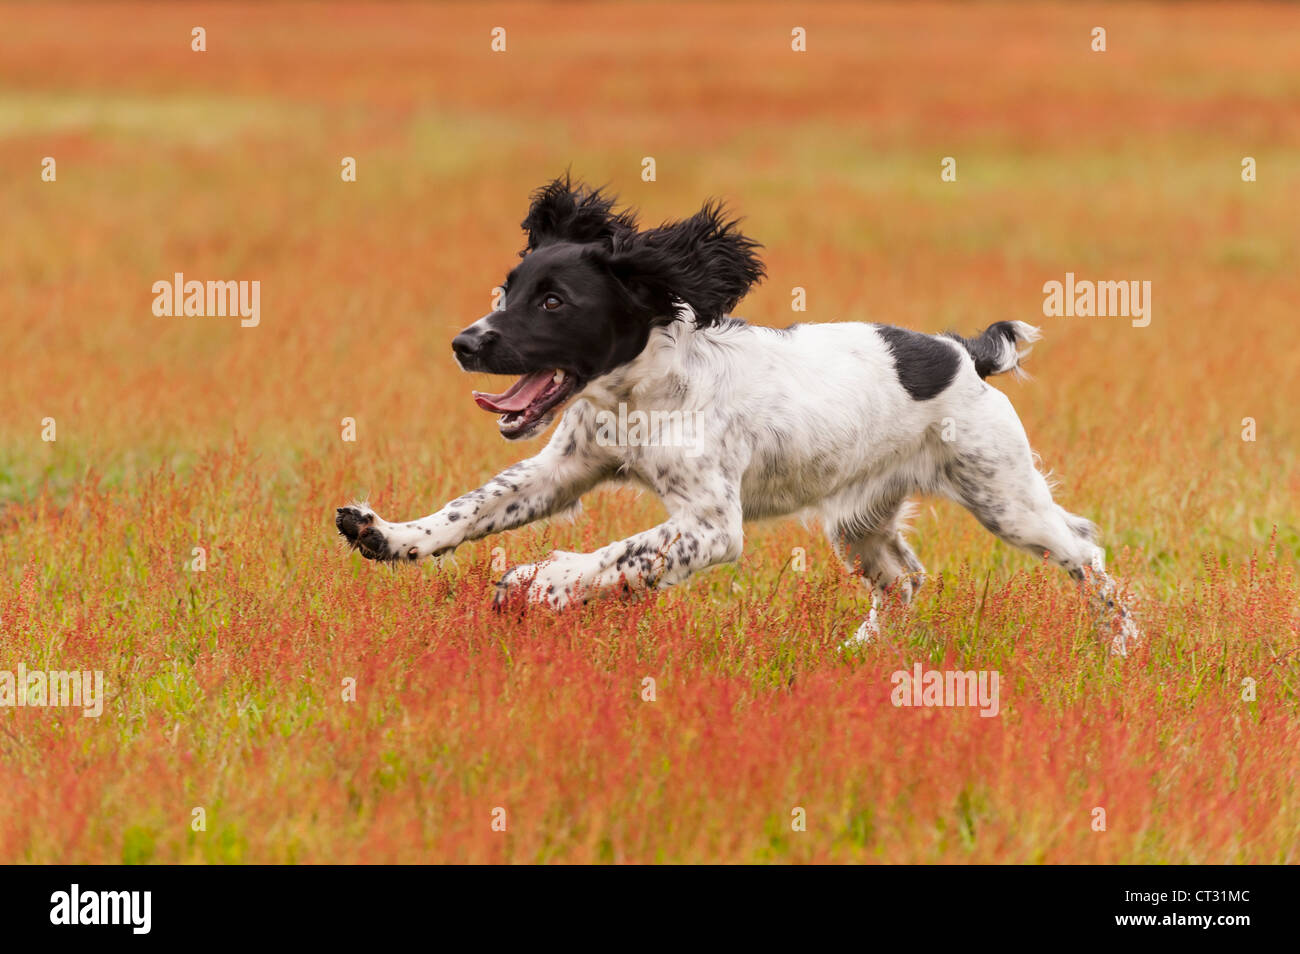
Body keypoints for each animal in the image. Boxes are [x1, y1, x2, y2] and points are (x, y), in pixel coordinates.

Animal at [335, 175, 1138, 655]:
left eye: (554, 300)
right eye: (507, 288)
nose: (465, 343)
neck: (642, 393)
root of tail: (964, 351)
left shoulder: (712, 526)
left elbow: (623, 555)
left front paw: (543, 582)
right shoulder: (562, 469)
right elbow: (469, 509)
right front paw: (386, 535)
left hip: (1004, 496)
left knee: (1087, 551)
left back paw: (1122, 643)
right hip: (860, 521)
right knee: (905, 578)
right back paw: (861, 651)